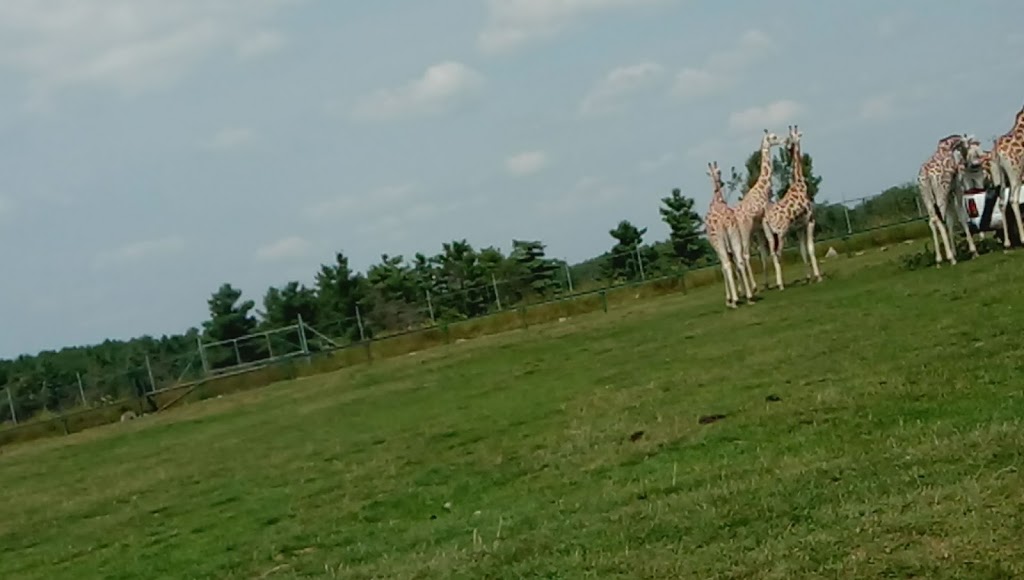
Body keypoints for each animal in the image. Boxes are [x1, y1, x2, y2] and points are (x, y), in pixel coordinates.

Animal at [704, 161, 753, 309]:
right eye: (718, 171)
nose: (721, 182)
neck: (717, 200)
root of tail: (724, 222)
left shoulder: (717, 249)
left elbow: (723, 268)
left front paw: (729, 298)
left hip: (719, 242)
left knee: (726, 265)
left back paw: (734, 301)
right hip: (735, 235)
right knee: (740, 261)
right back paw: (749, 297)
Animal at [733, 132, 778, 295]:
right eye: (774, 137)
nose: (784, 139)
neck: (762, 188)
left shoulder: (758, 228)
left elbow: (763, 255)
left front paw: (767, 284)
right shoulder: (765, 219)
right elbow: (770, 246)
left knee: (737, 258)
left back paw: (742, 290)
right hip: (745, 231)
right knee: (745, 255)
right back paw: (752, 287)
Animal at [765, 126, 819, 291]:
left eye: (790, 138)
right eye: (794, 136)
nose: (788, 147)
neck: (800, 182)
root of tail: (766, 219)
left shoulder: (798, 227)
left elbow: (802, 251)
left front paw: (809, 278)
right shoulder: (810, 221)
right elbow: (810, 248)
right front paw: (818, 276)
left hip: (770, 236)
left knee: (772, 254)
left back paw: (778, 283)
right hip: (781, 233)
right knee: (778, 253)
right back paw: (781, 285)